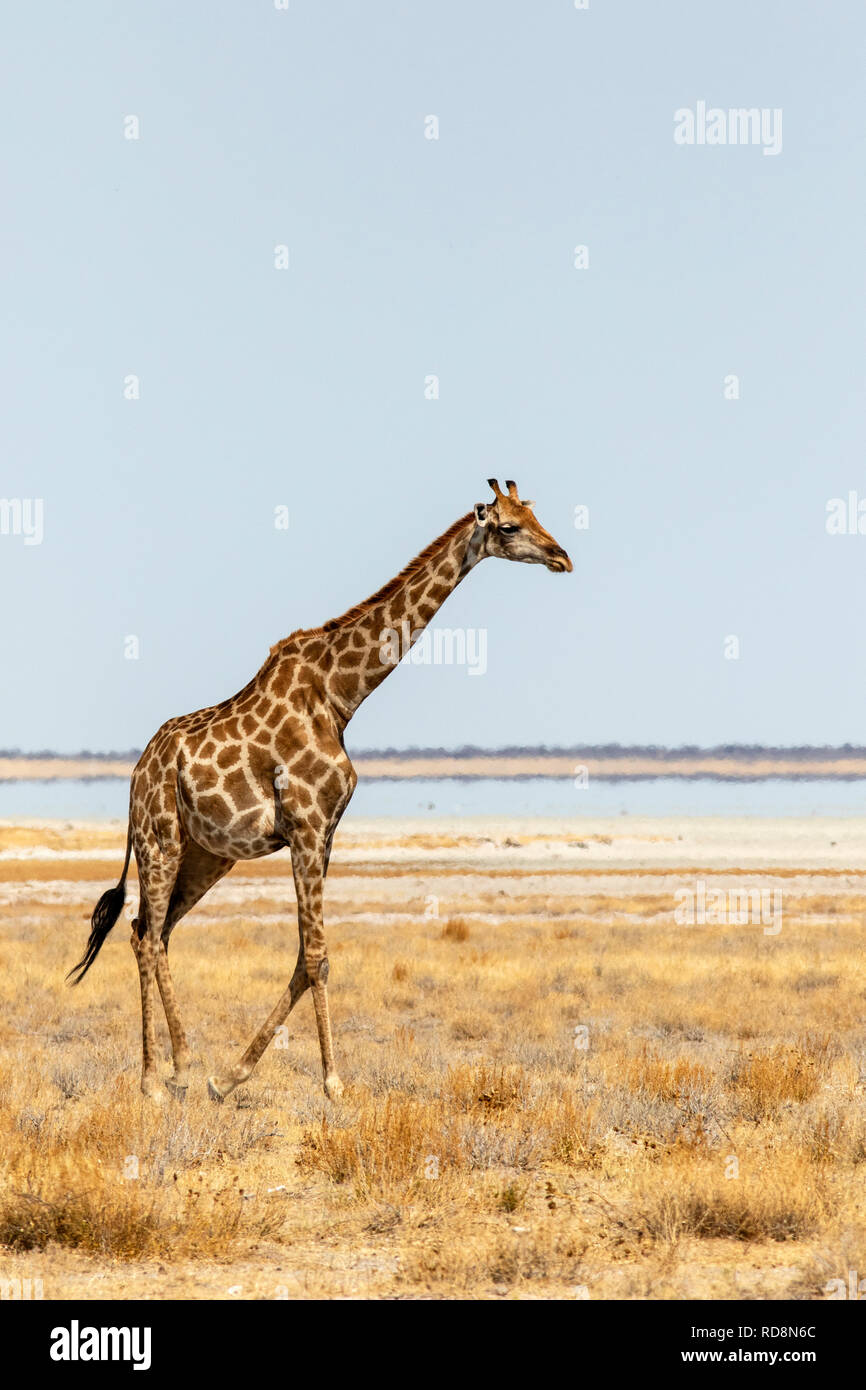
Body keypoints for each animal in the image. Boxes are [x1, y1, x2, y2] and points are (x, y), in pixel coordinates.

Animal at [66, 483, 569, 1100]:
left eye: (535, 512)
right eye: (507, 527)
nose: (561, 556)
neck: (341, 693)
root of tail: (137, 772)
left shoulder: (324, 832)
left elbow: (305, 957)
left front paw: (228, 1078)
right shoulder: (305, 825)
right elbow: (317, 958)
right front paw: (333, 1084)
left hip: (206, 855)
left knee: (155, 932)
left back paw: (182, 1069)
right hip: (158, 840)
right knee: (143, 933)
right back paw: (157, 1077)